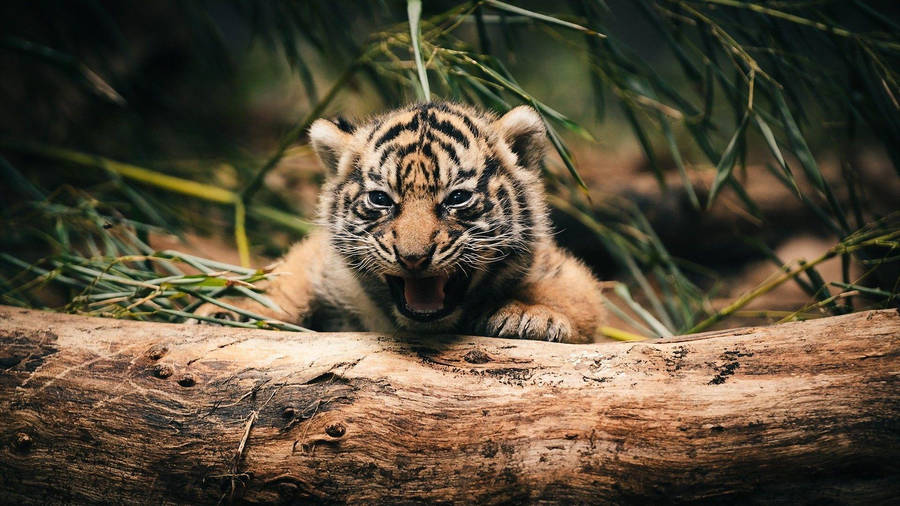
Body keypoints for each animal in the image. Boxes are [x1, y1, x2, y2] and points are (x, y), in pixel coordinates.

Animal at [197, 102, 606, 343]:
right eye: (381, 199)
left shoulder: (559, 268)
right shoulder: (320, 261)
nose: (413, 258)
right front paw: (231, 309)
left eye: (457, 198)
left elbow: (574, 294)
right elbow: (287, 278)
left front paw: (528, 315)